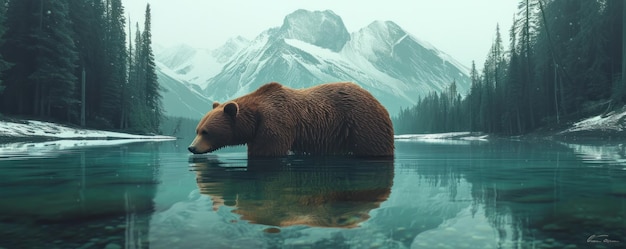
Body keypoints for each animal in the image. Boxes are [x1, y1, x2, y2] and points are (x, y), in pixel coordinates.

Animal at [188, 83, 392, 158]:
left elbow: (268, 150)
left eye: (206, 131)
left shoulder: (275, 123)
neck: (254, 118)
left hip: (362, 123)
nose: (191, 147)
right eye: (197, 130)